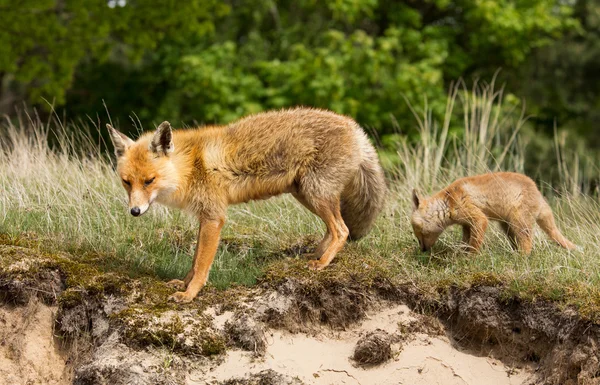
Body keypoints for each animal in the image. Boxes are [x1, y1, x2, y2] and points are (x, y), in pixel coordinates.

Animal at [107, 106, 386, 302]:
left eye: (149, 181)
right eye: (126, 182)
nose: (134, 211)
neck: (191, 166)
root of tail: (356, 129)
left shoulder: (214, 217)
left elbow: (201, 265)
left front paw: (190, 295)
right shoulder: (204, 218)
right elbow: (194, 261)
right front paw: (183, 285)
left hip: (316, 192)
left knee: (342, 230)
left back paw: (322, 263)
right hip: (305, 194)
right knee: (331, 228)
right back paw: (316, 254)